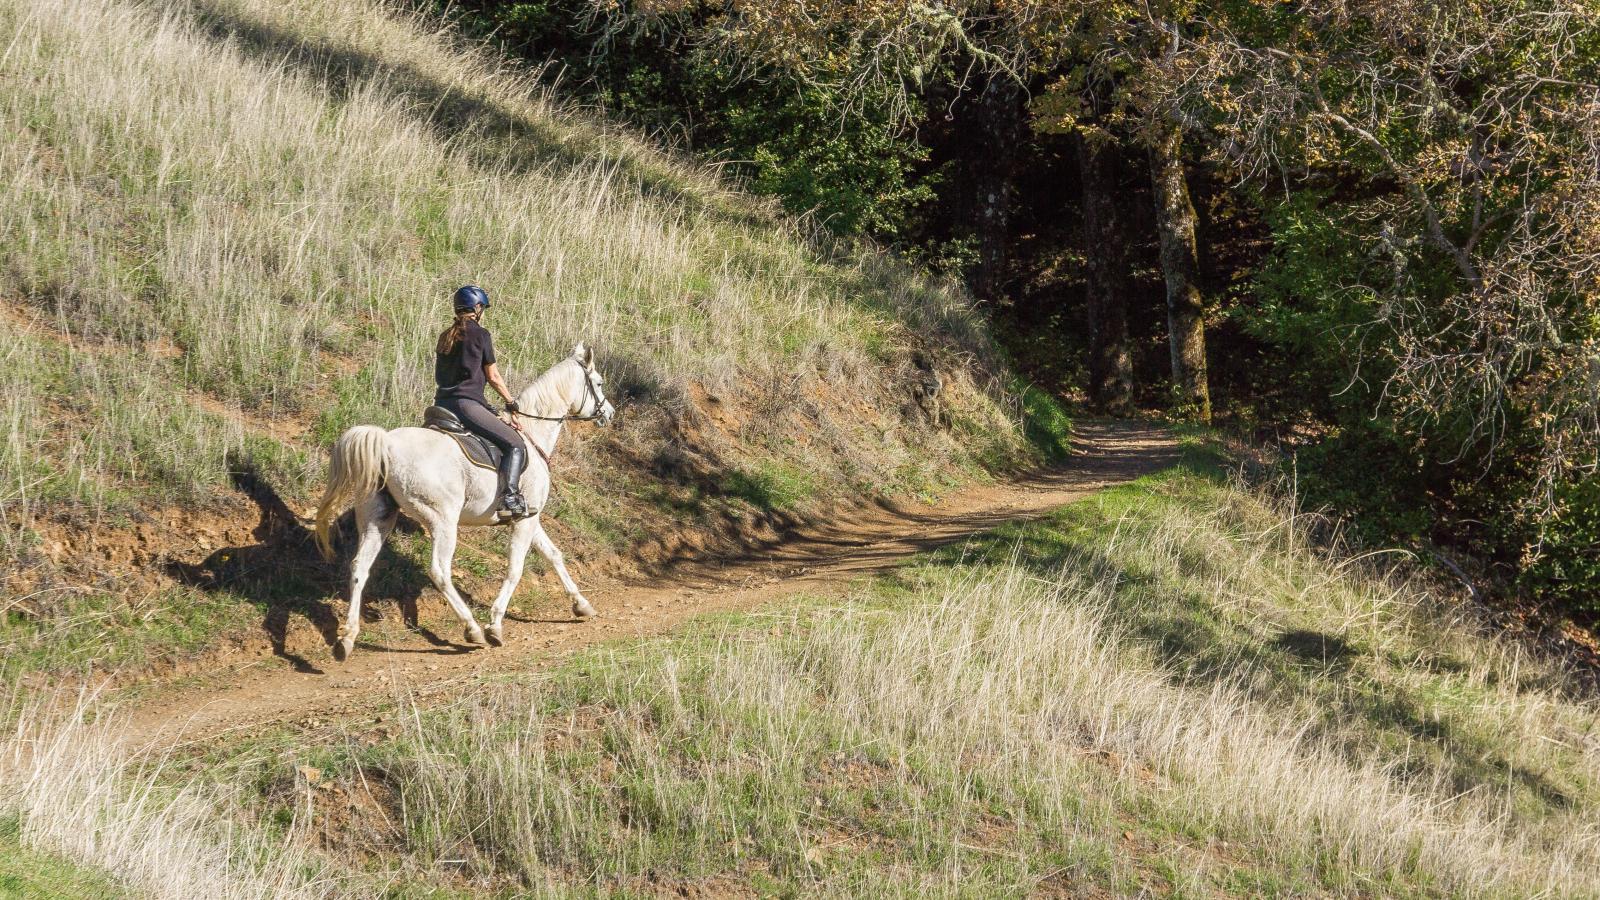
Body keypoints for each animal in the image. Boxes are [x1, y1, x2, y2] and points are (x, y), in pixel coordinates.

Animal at [310, 339, 611, 656]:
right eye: (599, 383)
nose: (609, 413)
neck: (532, 433)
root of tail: (387, 444)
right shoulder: (524, 521)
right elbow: (515, 569)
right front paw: (495, 624)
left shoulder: (530, 516)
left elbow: (554, 555)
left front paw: (581, 605)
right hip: (443, 520)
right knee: (440, 571)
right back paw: (473, 630)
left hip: (377, 518)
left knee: (360, 567)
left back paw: (347, 638)